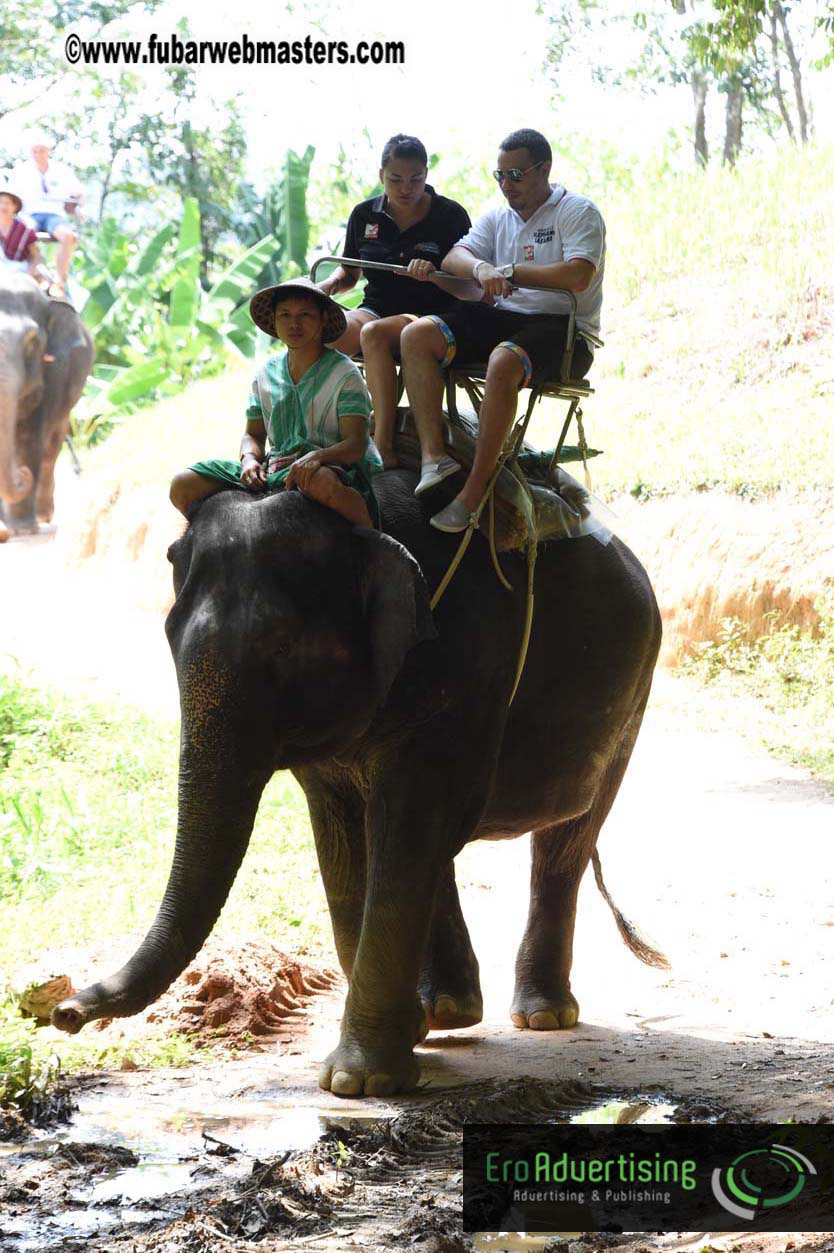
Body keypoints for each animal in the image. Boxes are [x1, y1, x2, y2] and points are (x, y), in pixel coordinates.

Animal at [0, 272, 93, 540]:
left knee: (51, 449)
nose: (22, 474)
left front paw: (23, 528)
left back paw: (41, 516)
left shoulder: (56, 371)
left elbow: (29, 438)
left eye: (31, 342)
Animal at [52, 468, 663, 1097]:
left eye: (282, 650)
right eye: (170, 640)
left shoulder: (466, 663)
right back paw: (445, 1013)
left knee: (566, 841)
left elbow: (406, 824)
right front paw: (399, 1043)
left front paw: (358, 1082)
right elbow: (344, 842)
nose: (62, 1013)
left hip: (636, 692)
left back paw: (542, 1016)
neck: (360, 522)